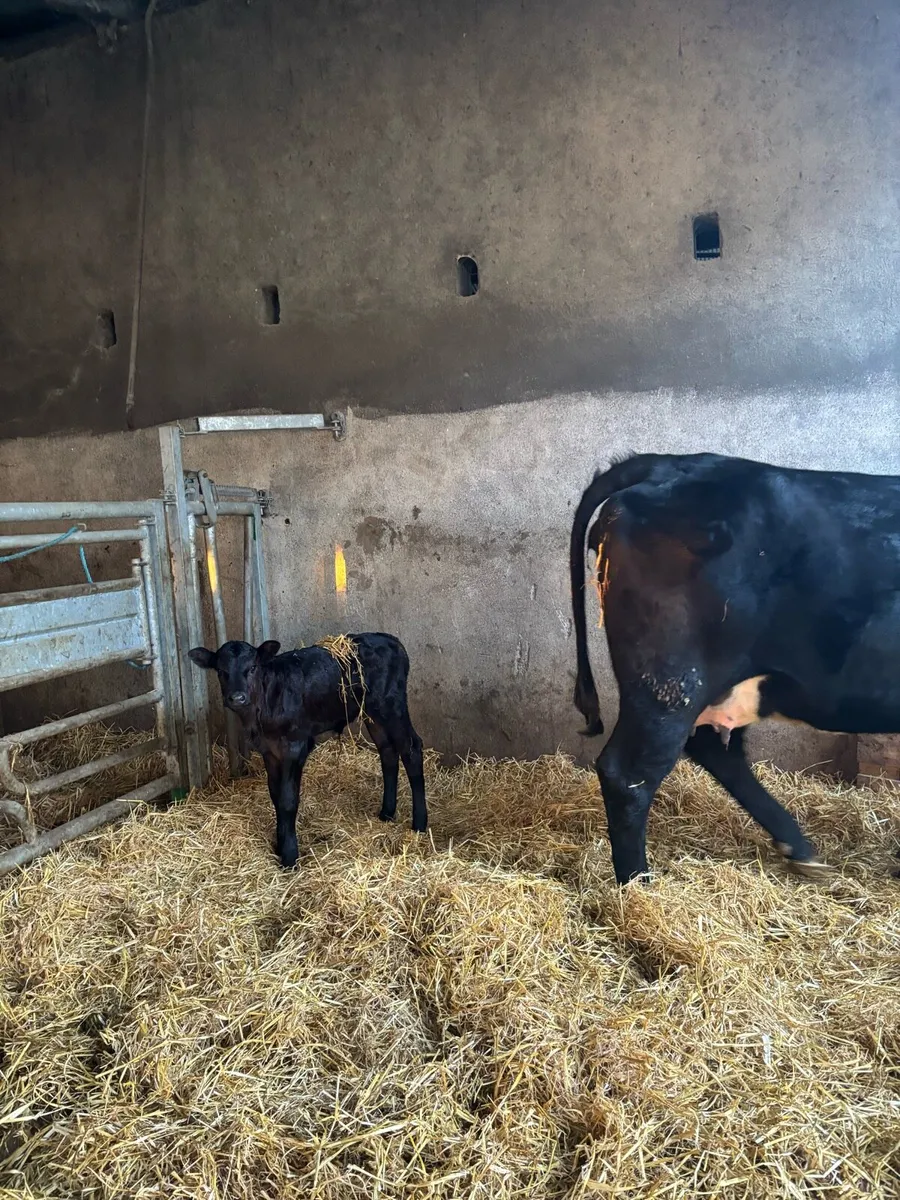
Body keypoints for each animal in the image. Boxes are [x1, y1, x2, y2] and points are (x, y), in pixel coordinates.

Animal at [188, 634, 427, 868]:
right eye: (221, 671)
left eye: (253, 667)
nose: (237, 697)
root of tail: (392, 640)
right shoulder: (269, 751)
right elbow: (275, 796)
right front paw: (280, 844)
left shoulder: (295, 747)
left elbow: (288, 800)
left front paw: (289, 856)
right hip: (372, 713)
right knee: (387, 750)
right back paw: (387, 813)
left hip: (391, 706)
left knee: (411, 749)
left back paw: (420, 823)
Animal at [570, 451, 900, 885]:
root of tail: (667, 463)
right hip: (670, 680)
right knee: (629, 774)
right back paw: (636, 884)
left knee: (715, 751)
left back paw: (800, 851)